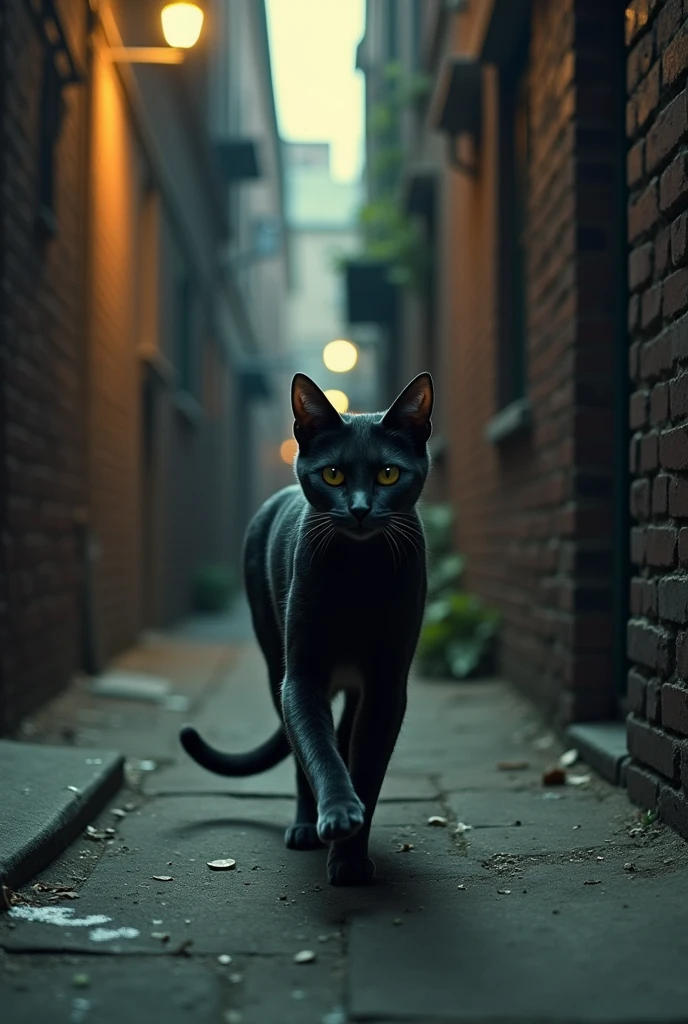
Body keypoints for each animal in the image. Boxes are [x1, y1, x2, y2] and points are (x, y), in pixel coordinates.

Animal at [180, 372, 432, 884]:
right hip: (271, 651)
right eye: (333, 474)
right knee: (304, 747)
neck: (358, 575)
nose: (359, 509)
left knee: (344, 735)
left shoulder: (387, 683)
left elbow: (367, 765)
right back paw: (304, 827)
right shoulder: (300, 673)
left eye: (388, 474)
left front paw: (351, 857)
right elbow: (316, 748)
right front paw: (337, 816)